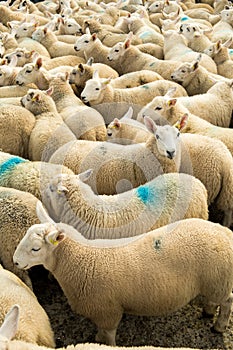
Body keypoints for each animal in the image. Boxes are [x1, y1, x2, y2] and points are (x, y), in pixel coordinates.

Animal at [13, 204, 233, 346]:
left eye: (35, 248)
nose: (14, 261)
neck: (82, 258)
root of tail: (224, 231)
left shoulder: (108, 312)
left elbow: (109, 336)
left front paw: (105, 344)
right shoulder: (100, 312)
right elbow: (100, 332)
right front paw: (97, 339)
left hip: (219, 280)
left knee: (228, 301)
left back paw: (219, 325)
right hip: (214, 282)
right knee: (216, 300)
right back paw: (208, 310)